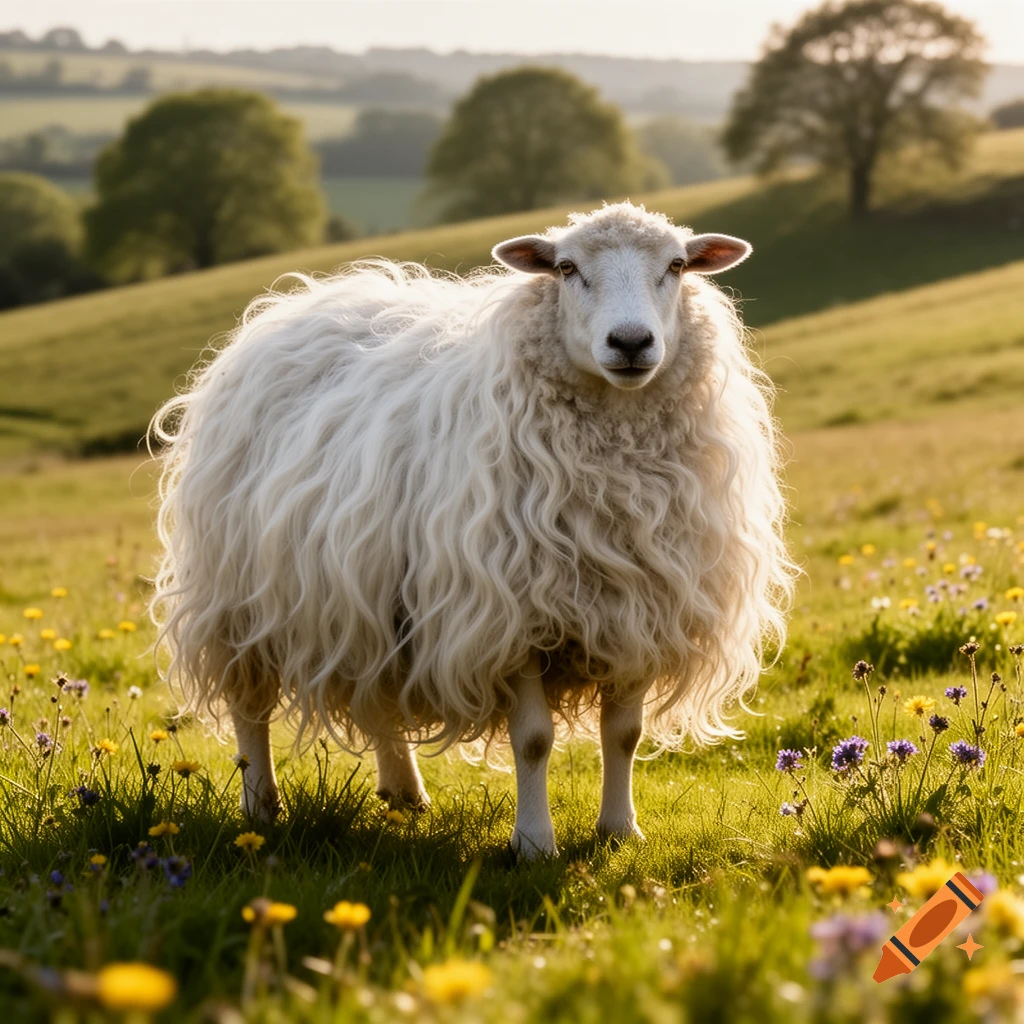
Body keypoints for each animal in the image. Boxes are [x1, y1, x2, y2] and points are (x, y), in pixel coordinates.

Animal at [150, 201, 796, 859]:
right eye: (567, 268)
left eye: (676, 266)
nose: (632, 342)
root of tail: (295, 304)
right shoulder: (511, 616)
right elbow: (533, 739)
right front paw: (534, 844)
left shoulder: (641, 609)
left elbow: (625, 734)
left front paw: (620, 832)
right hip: (239, 595)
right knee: (249, 705)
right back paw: (260, 808)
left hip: (368, 587)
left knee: (375, 686)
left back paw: (404, 792)